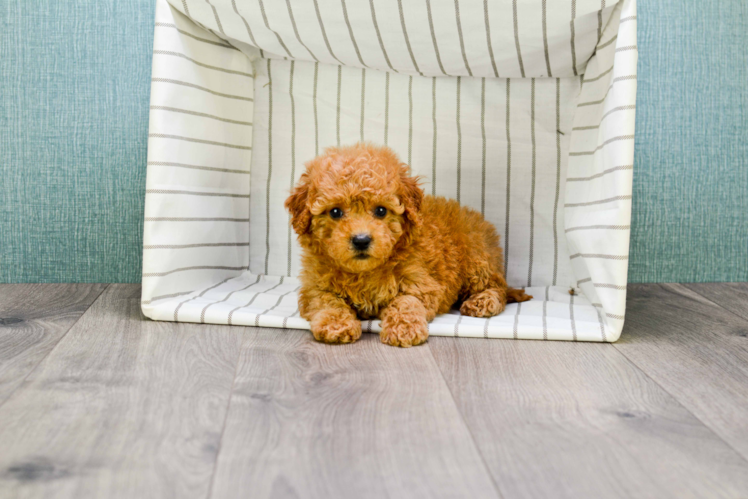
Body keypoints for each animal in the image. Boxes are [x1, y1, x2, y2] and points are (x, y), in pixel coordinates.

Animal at [282, 143, 532, 346]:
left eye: (381, 210)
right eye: (335, 212)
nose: (361, 240)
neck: (364, 272)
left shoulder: (421, 283)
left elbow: (405, 302)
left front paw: (404, 329)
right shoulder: (315, 287)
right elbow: (328, 302)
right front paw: (336, 326)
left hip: (475, 259)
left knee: (498, 287)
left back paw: (482, 301)